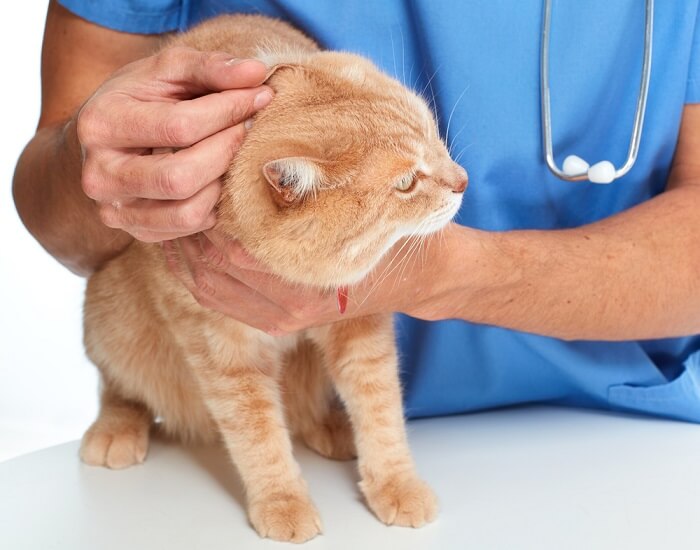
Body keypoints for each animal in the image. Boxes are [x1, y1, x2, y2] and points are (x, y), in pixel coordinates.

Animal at [79, 15, 468, 544]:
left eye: (432, 134)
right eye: (406, 183)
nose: (463, 180)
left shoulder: (360, 329)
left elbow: (380, 409)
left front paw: (395, 483)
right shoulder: (223, 352)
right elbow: (257, 433)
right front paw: (283, 502)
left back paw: (332, 428)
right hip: (111, 318)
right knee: (117, 385)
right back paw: (116, 427)